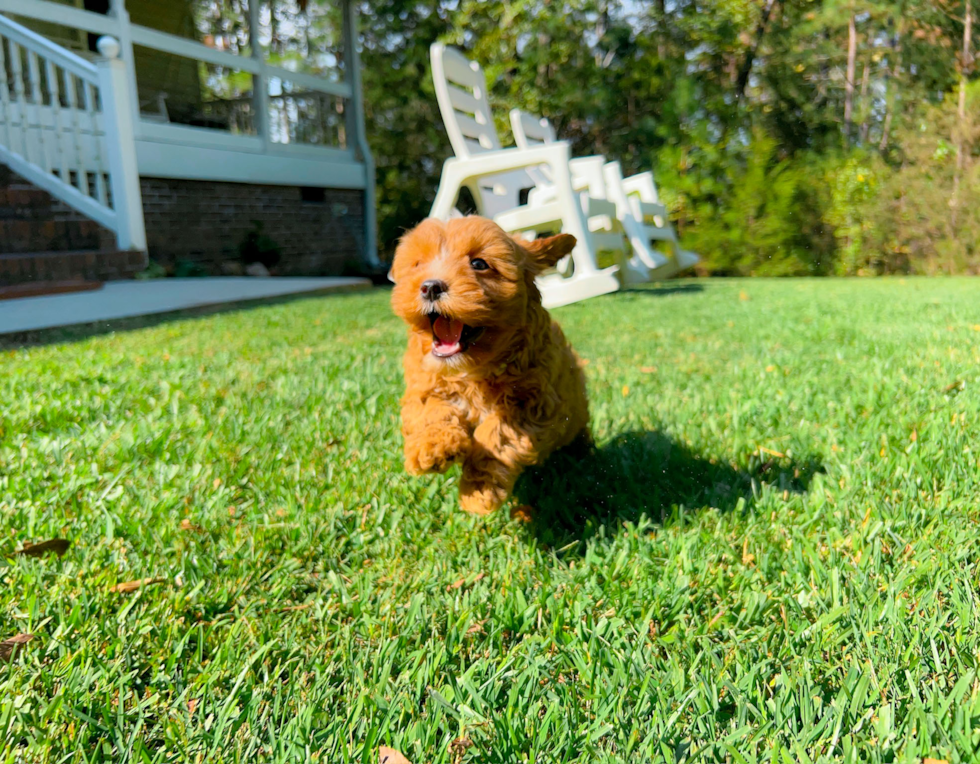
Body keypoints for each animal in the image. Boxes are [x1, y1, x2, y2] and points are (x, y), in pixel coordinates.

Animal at [390, 215, 588, 512]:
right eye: (417, 265)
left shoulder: (535, 404)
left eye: (479, 264)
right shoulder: (425, 385)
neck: (471, 370)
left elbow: (496, 434)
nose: (430, 286)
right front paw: (433, 448)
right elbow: (431, 410)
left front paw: (478, 491)